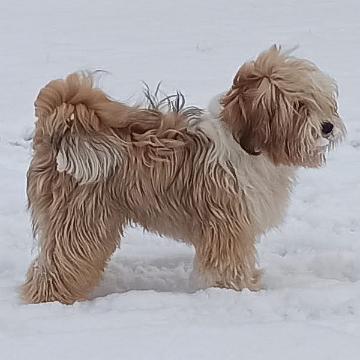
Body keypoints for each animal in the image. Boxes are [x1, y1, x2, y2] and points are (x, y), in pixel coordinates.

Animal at [22, 45, 346, 304]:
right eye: (299, 106)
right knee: (58, 266)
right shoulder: (227, 227)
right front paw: (238, 292)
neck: (248, 145)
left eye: (321, 101)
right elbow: (229, 267)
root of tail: (60, 127)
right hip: (80, 220)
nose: (327, 127)